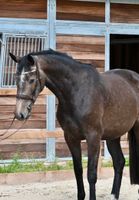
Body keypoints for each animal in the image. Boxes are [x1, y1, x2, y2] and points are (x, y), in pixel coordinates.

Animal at [10, 48, 139, 200]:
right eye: (16, 79)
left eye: (31, 80)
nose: (20, 113)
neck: (77, 92)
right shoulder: (71, 138)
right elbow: (78, 170)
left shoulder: (93, 137)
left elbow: (91, 174)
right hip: (113, 135)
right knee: (119, 162)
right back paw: (114, 195)